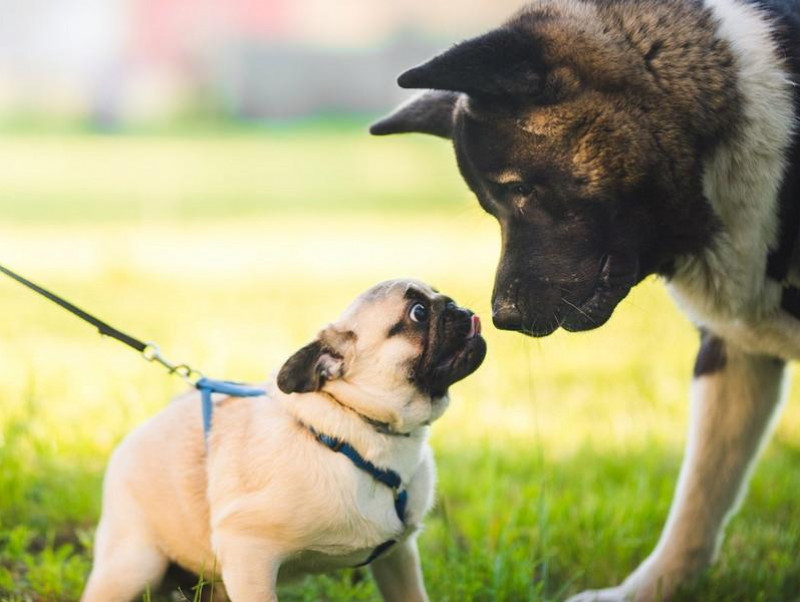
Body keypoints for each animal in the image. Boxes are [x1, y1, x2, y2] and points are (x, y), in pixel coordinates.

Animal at [84, 280, 490, 600]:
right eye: (418, 313)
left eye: (437, 294)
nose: (456, 305)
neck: (361, 429)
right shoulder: (248, 554)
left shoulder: (399, 557)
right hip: (135, 565)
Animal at [372, 0, 800, 596]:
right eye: (491, 205)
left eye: (519, 188)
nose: (502, 318)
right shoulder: (732, 353)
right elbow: (698, 502)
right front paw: (643, 593)